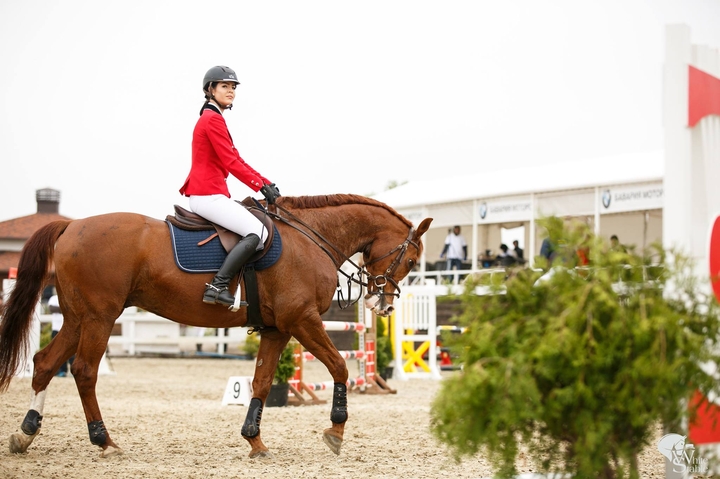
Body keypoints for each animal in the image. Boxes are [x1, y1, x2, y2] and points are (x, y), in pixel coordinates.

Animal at [0, 194, 432, 458]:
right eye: (412, 260)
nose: (383, 305)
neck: (311, 239)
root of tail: (71, 226)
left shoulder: (278, 329)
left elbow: (261, 382)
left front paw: (255, 441)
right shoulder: (302, 320)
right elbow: (340, 366)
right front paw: (336, 433)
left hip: (77, 317)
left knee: (45, 362)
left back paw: (26, 432)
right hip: (99, 317)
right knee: (85, 371)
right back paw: (104, 440)